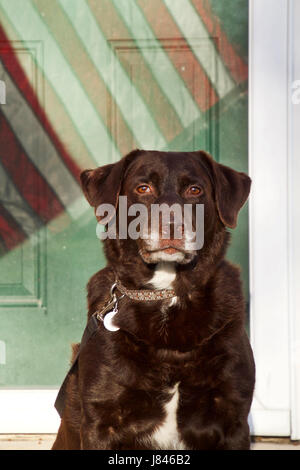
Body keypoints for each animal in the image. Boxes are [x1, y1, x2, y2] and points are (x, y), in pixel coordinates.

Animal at [52, 149, 254, 450]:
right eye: (143, 188)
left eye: (195, 190)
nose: (172, 226)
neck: (166, 294)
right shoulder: (102, 420)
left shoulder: (233, 419)